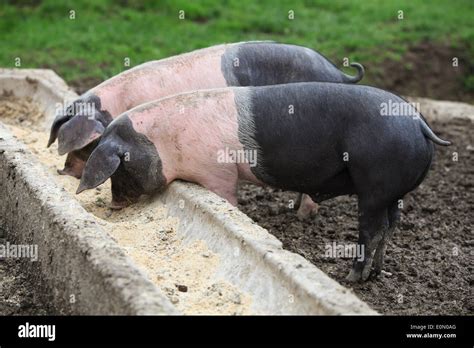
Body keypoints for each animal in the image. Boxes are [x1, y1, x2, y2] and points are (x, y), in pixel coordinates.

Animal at [76, 83, 450, 282]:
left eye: (119, 168)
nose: (114, 206)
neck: (164, 143)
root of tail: (418, 123)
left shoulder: (219, 173)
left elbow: (228, 199)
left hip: (375, 185)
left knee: (371, 231)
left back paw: (352, 277)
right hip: (393, 193)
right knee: (390, 227)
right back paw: (376, 274)